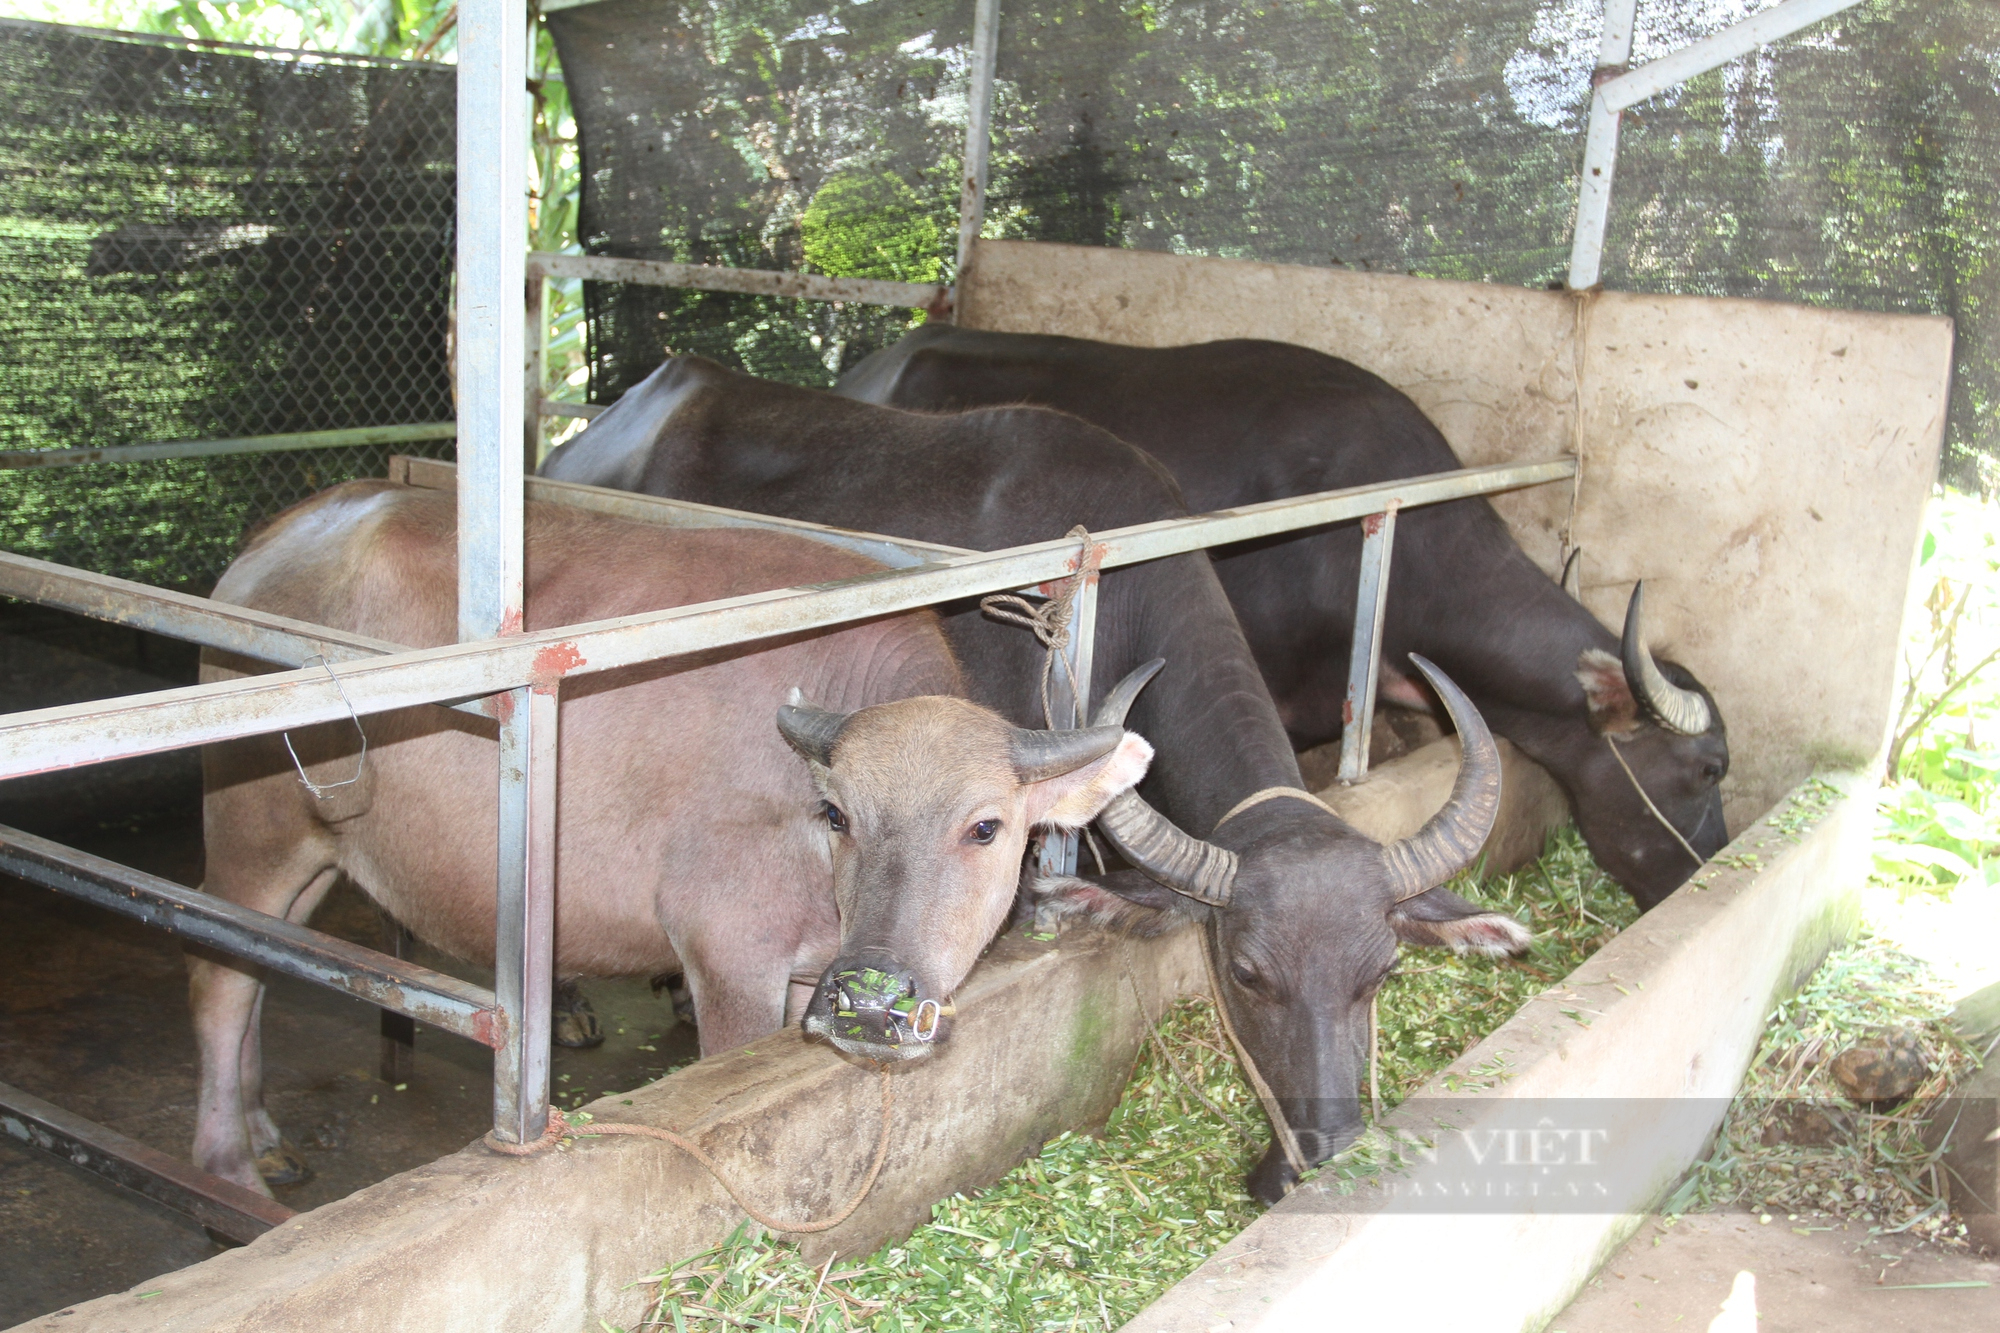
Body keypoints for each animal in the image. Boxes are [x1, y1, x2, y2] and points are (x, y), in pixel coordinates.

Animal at [197, 482, 1160, 1184]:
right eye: (840, 814)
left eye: (986, 826)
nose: (871, 999)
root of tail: (281, 535)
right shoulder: (727, 954)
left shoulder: (802, 971)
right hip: (251, 833)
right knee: (215, 976)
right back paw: (228, 1163)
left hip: (317, 857)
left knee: (256, 958)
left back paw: (262, 1126)